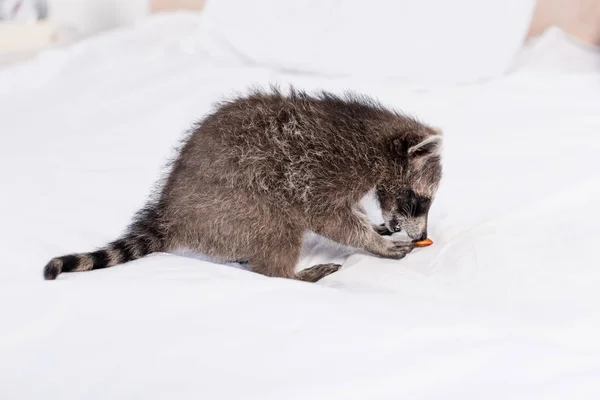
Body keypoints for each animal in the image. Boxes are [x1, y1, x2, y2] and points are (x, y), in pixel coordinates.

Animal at [43, 88, 440, 282]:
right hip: (239, 204)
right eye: (418, 201)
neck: (374, 140)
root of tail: (172, 213)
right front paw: (373, 241)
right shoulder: (320, 171)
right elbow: (331, 219)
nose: (422, 234)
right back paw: (290, 274)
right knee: (278, 228)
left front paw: (377, 224)